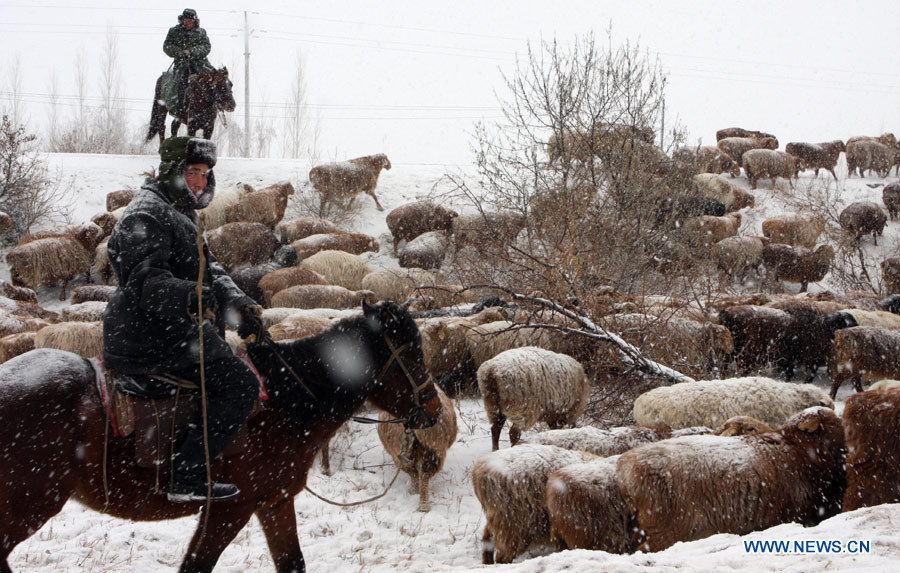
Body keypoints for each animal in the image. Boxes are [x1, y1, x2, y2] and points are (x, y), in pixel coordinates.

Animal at [0, 300, 442, 572]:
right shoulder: (228, 510)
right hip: (26, 508)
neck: (287, 398)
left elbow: (291, 562)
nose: (435, 410)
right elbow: (197, 564)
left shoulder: (274, 502)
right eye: (413, 354)